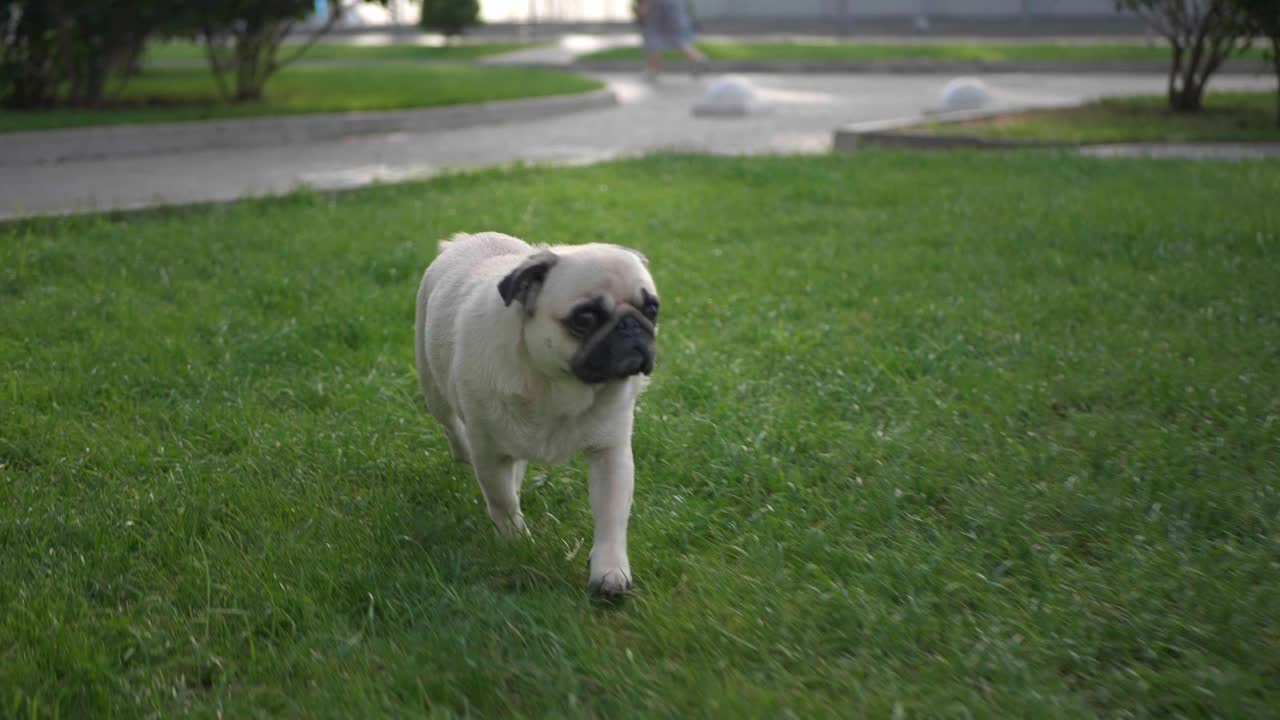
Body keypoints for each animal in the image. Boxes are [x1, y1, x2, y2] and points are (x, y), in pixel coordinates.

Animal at [414, 230, 660, 594]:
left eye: (652, 309)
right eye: (585, 319)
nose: (631, 325)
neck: (559, 386)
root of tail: (464, 240)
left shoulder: (610, 454)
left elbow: (612, 515)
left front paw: (610, 569)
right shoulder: (489, 452)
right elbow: (501, 501)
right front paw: (516, 542)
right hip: (434, 390)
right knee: (451, 426)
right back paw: (462, 454)